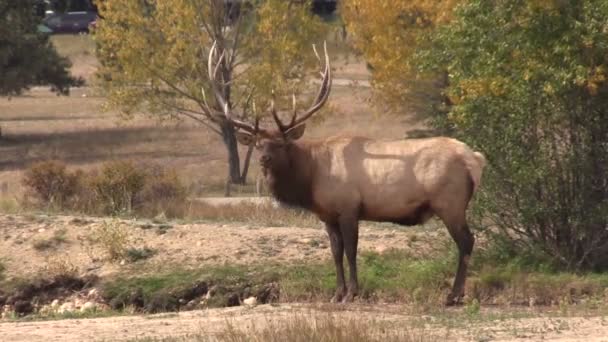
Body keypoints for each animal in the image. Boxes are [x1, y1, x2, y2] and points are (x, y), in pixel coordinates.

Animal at [207, 41, 486, 306]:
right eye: (258, 144)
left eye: (281, 143)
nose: (265, 159)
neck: (311, 179)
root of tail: (475, 159)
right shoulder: (327, 215)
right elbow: (335, 252)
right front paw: (337, 293)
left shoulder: (349, 208)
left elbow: (351, 250)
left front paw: (352, 292)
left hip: (450, 202)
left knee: (466, 241)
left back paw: (454, 295)